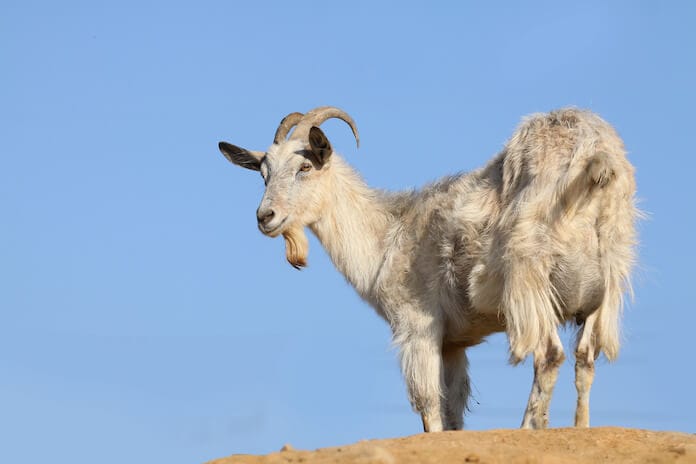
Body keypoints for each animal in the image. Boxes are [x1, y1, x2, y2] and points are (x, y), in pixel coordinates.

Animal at [218, 106, 637, 431]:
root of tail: (595, 159)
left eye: (305, 166)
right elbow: (453, 407)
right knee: (585, 359)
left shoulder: (417, 326)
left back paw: (528, 429)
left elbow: (428, 403)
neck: (388, 235)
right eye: (263, 174)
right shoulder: (454, 343)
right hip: (604, 290)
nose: (265, 217)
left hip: (530, 276)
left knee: (548, 354)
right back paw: (580, 428)